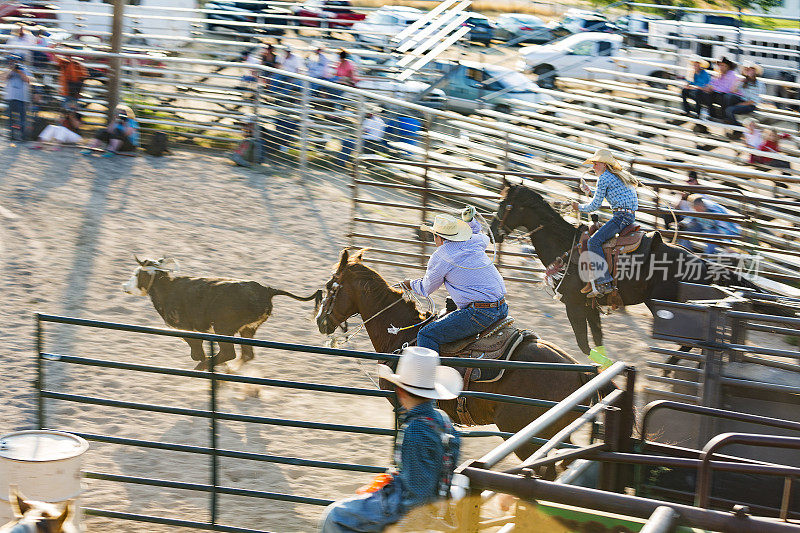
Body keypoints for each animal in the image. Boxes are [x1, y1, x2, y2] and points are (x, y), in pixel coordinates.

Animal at [316, 247, 596, 460]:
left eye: (331, 286)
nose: (320, 321)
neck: (403, 334)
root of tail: (581, 374)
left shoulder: (402, 406)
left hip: (524, 436)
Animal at [488, 179, 764, 358]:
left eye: (505, 205)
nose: (492, 232)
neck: (566, 246)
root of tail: (703, 264)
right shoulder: (590, 305)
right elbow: (596, 341)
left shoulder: (573, 304)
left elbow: (583, 344)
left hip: (664, 303)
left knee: (693, 339)